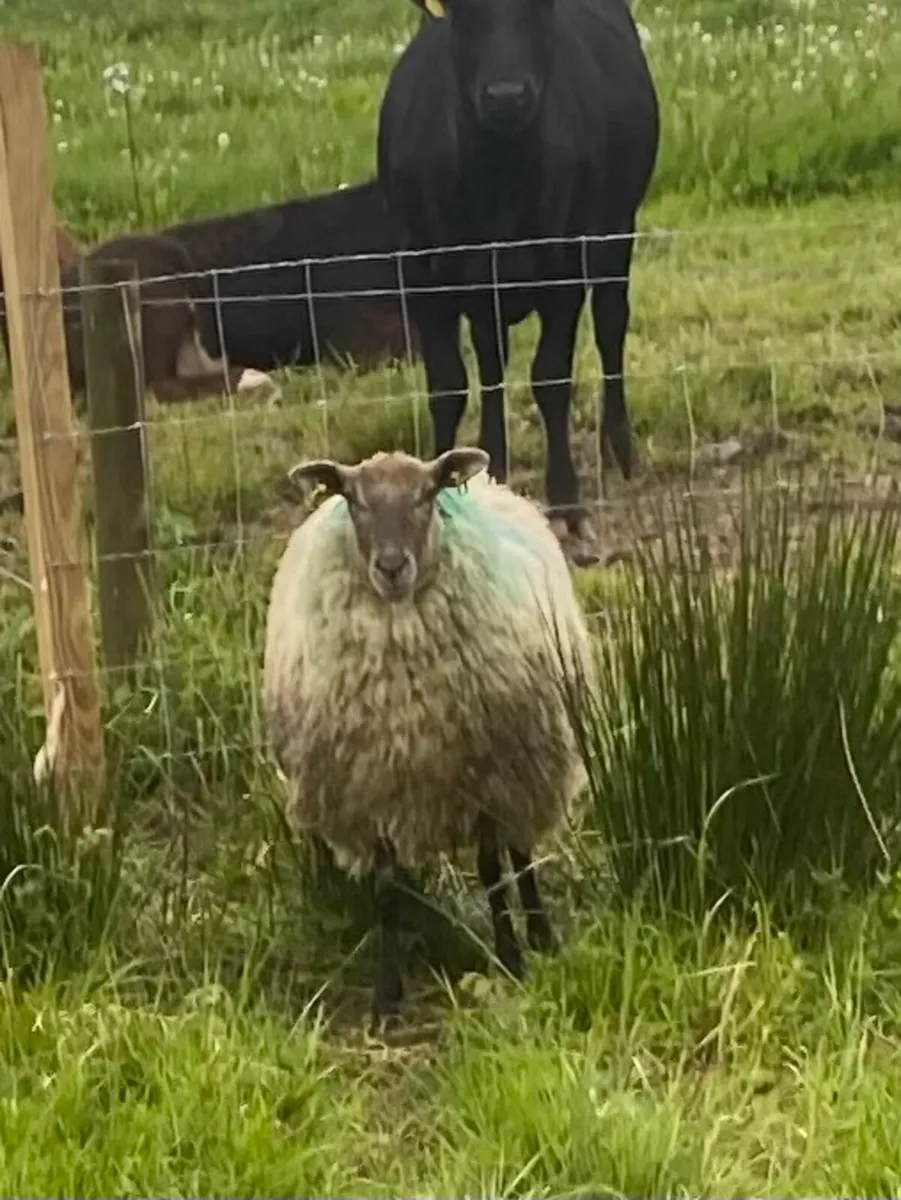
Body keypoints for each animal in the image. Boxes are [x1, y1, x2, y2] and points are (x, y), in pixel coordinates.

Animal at [263, 445, 596, 1025]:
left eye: (425, 494)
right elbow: (388, 891)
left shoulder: (483, 778)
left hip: (525, 767)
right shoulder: (372, 790)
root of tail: (488, 484)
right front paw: (386, 997)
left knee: (521, 855)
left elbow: (491, 870)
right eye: (353, 499)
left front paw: (512, 959)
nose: (392, 568)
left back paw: (540, 934)